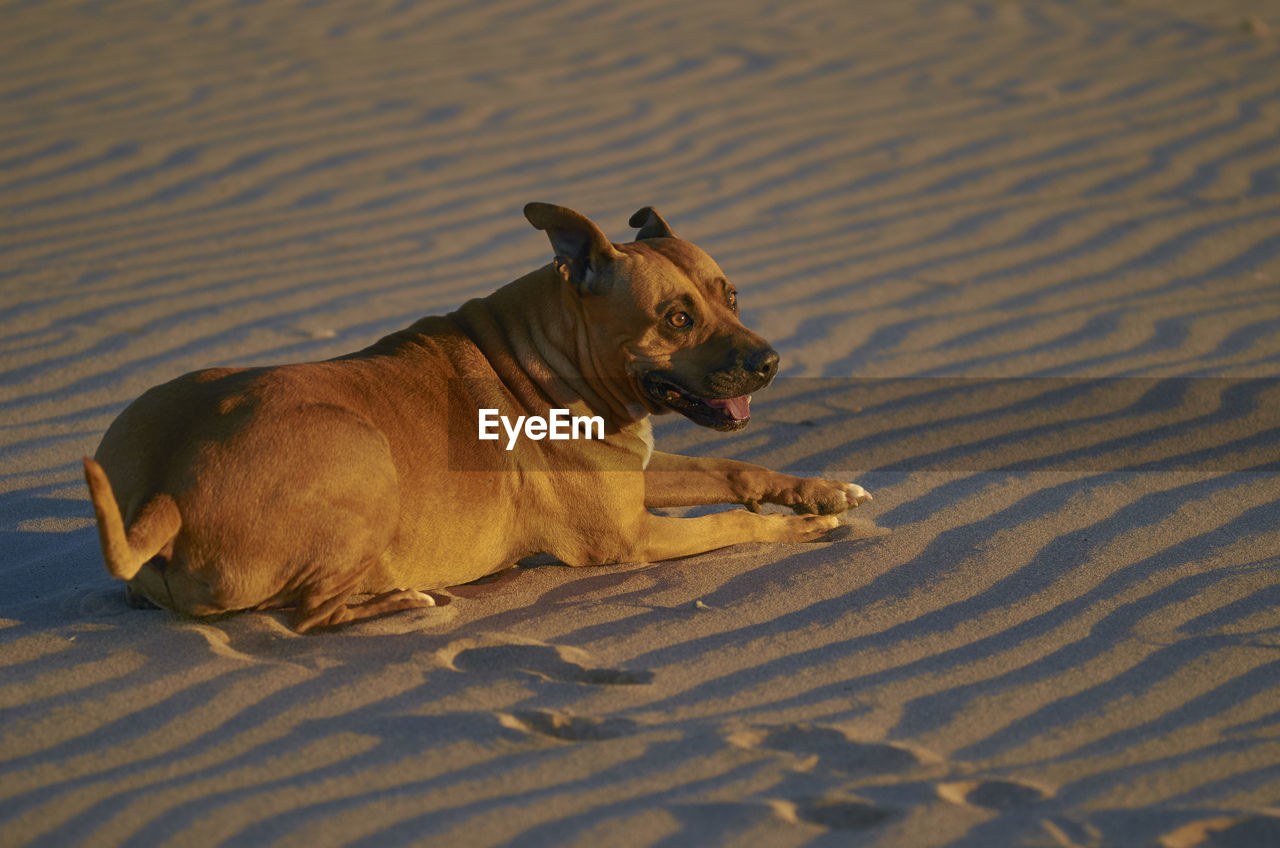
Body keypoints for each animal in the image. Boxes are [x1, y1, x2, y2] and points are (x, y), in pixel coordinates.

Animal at [82, 204, 870, 630]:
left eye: (730, 296)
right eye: (676, 318)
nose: (771, 363)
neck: (551, 350)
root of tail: (166, 492)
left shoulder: (640, 471)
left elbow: (733, 468)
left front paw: (821, 491)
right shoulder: (631, 536)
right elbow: (733, 522)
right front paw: (799, 528)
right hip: (359, 453)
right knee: (311, 614)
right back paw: (400, 601)